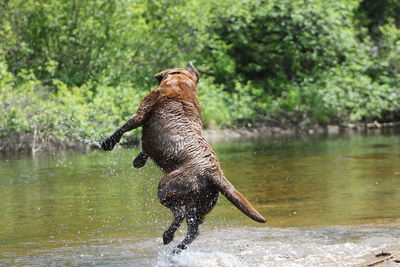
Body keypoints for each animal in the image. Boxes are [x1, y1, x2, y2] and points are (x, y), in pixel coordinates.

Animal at [99, 62, 266, 253]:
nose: (190, 63)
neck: (180, 83)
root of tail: (214, 173)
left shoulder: (143, 110)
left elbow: (123, 127)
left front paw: (107, 143)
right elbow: (146, 148)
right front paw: (138, 160)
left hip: (166, 188)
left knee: (179, 213)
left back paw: (168, 236)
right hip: (202, 203)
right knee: (193, 229)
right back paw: (176, 248)